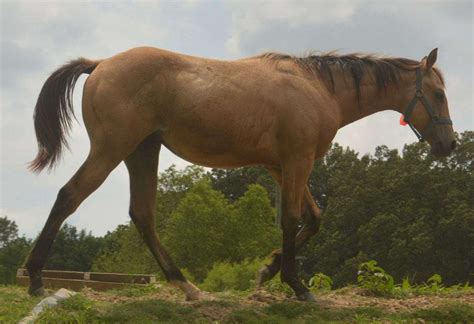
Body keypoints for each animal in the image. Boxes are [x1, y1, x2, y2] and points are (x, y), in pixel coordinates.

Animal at [25, 46, 456, 302]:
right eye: (437, 94)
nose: (449, 144)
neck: (318, 87)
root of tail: (100, 65)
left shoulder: (281, 166)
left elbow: (312, 219)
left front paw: (267, 271)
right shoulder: (297, 161)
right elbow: (292, 219)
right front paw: (295, 285)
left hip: (142, 152)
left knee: (142, 215)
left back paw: (188, 286)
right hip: (113, 149)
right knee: (69, 196)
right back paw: (34, 278)